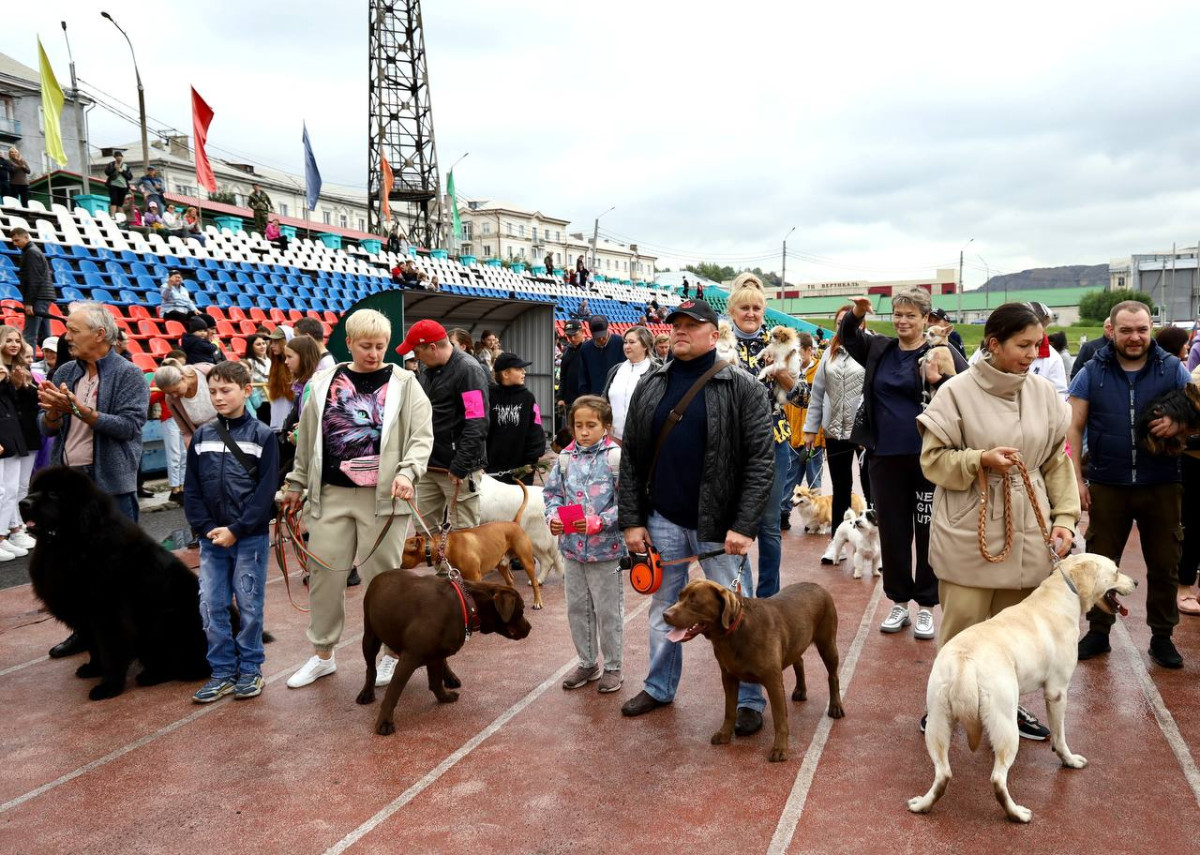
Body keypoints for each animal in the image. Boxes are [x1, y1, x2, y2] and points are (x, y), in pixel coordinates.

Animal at [20, 468, 211, 701]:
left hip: (168, 618)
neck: (73, 544)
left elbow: (110, 651)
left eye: (54, 494)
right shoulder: (86, 616)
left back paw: (161, 675)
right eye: (33, 490)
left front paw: (108, 687)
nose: (23, 503)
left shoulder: (108, 614)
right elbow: (94, 647)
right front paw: (92, 669)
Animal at [907, 549, 1132, 826]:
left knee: (943, 774)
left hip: (938, 722)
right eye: (1116, 571)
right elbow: (1060, 736)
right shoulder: (1057, 692)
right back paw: (1017, 814)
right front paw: (1069, 760)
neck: (1062, 592)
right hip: (1005, 726)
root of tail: (964, 662)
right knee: (997, 779)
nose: (1137, 583)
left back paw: (922, 804)